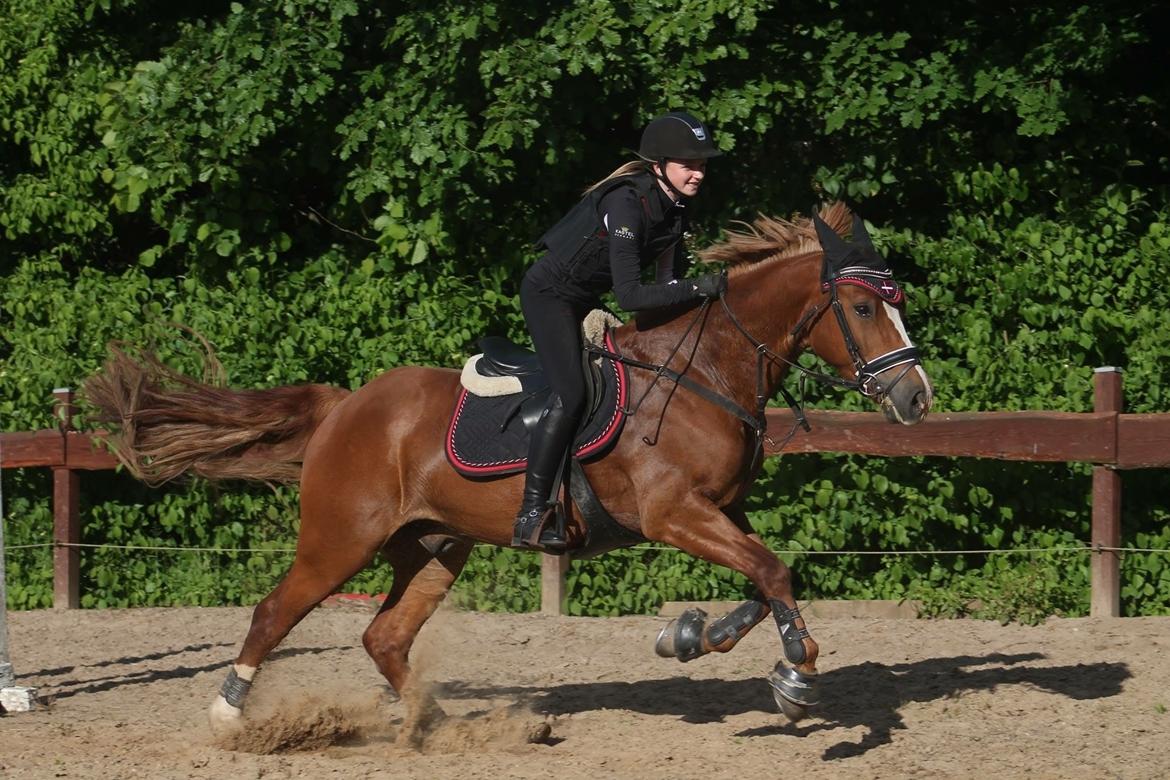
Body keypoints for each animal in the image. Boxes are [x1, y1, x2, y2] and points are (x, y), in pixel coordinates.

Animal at [84, 201, 931, 734]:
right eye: (864, 309)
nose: (915, 396)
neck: (705, 373)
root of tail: (343, 407)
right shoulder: (675, 515)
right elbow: (776, 574)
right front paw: (795, 677)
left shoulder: (720, 511)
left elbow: (765, 578)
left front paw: (691, 636)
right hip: (341, 541)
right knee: (273, 613)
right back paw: (229, 713)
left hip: (434, 547)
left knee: (385, 638)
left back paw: (438, 724)